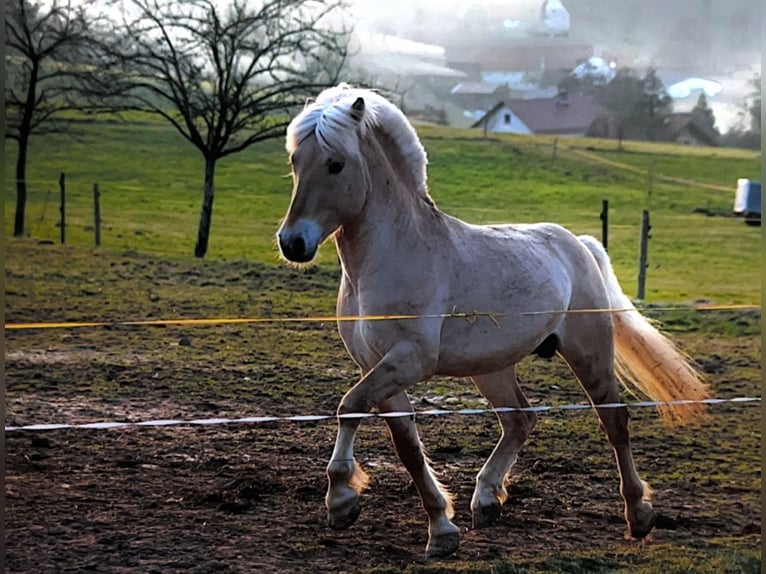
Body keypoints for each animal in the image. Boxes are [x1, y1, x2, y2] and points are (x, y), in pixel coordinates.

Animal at [274, 83, 708, 560]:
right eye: (295, 161)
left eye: (336, 163)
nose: (293, 243)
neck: (395, 255)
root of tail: (577, 244)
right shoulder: (377, 366)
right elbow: (406, 444)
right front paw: (440, 527)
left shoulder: (409, 359)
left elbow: (349, 406)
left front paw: (342, 499)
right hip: (492, 367)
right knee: (520, 419)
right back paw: (486, 500)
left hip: (588, 352)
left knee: (614, 422)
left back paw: (638, 515)